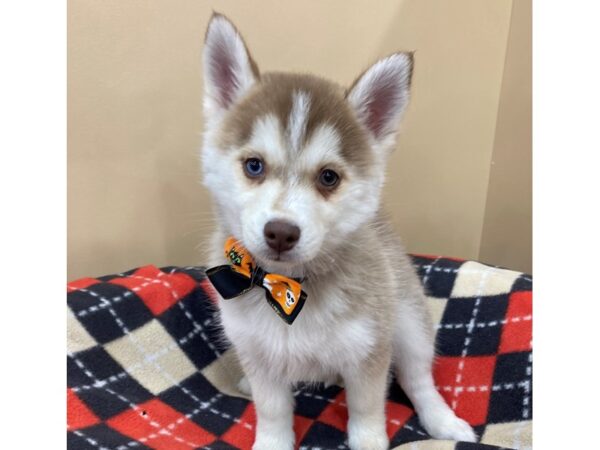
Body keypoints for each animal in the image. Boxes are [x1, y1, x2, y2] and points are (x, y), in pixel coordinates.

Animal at [199, 12, 476, 448]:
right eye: (254, 166)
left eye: (328, 177)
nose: (281, 232)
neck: (289, 287)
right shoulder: (259, 355)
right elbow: (272, 412)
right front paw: (271, 439)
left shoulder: (368, 352)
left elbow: (367, 411)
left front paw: (370, 439)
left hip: (408, 322)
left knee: (417, 378)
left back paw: (442, 421)